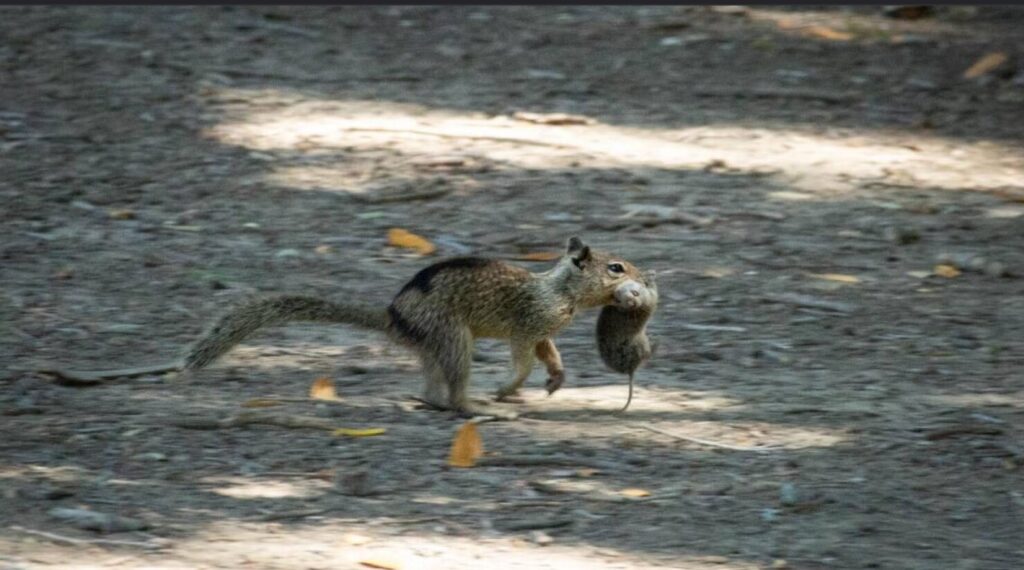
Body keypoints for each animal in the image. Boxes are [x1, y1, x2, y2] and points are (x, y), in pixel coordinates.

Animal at [181, 235, 647, 417]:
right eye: (616, 267)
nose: (644, 279)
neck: (560, 290)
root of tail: (392, 317)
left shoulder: (543, 332)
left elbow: (550, 353)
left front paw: (556, 379)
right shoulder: (527, 324)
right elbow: (523, 360)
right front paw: (508, 387)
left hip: (434, 346)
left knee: (433, 387)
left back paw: (432, 401)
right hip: (453, 337)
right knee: (455, 391)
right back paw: (477, 406)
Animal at [598, 268, 659, 411]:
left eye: (635, 293)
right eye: (619, 300)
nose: (633, 303)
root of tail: (630, 370)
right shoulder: (651, 297)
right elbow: (653, 290)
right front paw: (650, 275)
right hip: (642, 344)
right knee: (647, 355)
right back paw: (656, 343)